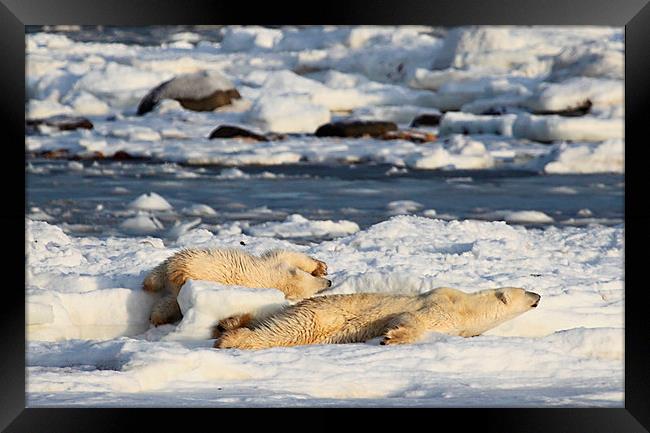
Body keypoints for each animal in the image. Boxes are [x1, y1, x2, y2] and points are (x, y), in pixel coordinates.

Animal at [145, 246, 332, 324]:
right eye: (316, 287)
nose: (329, 282)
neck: (274, 279)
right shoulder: (274, 264)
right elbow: (288, 255)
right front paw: (321, 266)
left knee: (169, 300)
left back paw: (156, 316)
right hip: (194, 260)